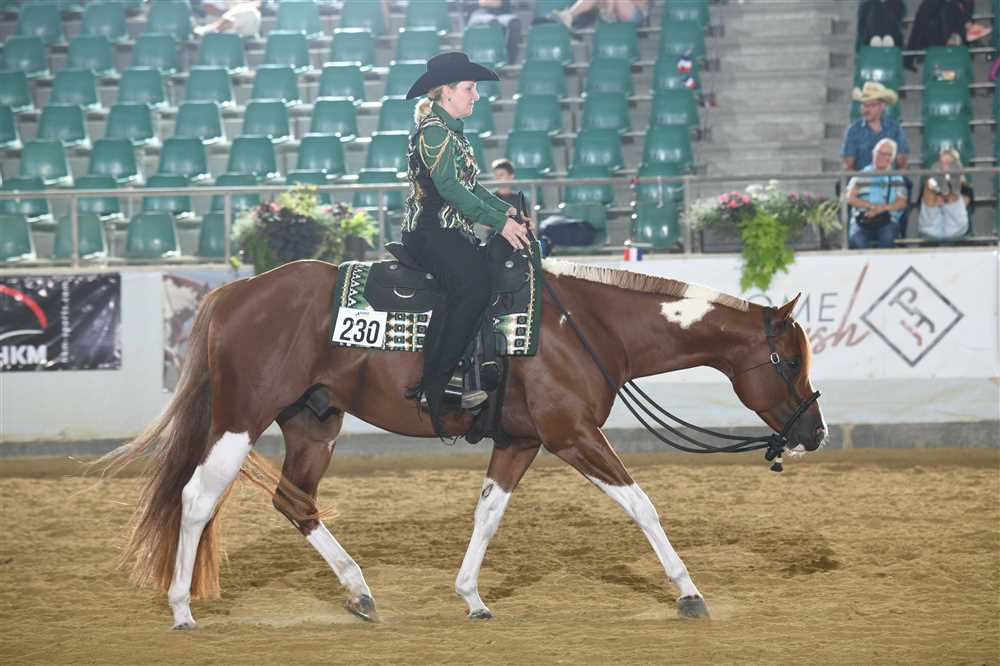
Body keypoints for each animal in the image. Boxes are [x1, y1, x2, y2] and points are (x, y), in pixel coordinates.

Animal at [100, 257, 828, 629]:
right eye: (791, 360)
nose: (814, 432)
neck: (583, 325)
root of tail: (235, 291)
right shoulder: (573, 435)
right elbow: (641, 504)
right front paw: (688, 591)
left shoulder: (522, 440)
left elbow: (488, 513)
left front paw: (472, 595)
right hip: (241, 419)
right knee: (197, 498)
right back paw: (181, 608)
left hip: (314, 422)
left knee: (295, 502)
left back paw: (359, 591)